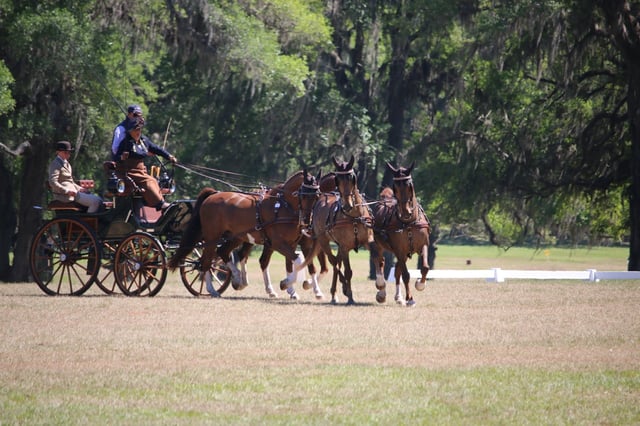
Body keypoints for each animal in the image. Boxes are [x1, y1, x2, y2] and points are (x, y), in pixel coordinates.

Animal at [169, 169, 318, 292]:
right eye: (303, 195)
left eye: (316, 196)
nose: (307, 220)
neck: (282, 206)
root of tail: (212, 195)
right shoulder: (277, 243)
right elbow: (298, 261)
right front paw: (287, 284)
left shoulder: (292, 243)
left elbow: (295, 263)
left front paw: (289, 285)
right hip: (212, 237)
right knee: (206, 260)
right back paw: (212, 289)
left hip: (235, 236)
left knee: (221, 252)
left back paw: (237, 279)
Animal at [296, 156, 380, 306]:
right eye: (337, 179)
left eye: (352, 178)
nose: (347, 205)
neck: (354, 216)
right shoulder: (345, 246)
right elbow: (347, 271)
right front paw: (350, 295)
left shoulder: (368, 241)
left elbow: (377, 258)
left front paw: (381, 286)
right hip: (324, 241)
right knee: (334, 262)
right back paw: (338, 291)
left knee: (337, 262)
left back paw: (336, 293)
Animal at [370, 162, 430, 306]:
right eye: (395, 186)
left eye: (410, 185)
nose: (406, 212)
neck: (409, 222)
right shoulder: (399, 249)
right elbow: (406, 274)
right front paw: (410, 298)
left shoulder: (423, 245)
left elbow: (425, 267)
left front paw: (420, 284)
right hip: (379, 244)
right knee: (379, 261)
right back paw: (381, 290)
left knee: (396, 270)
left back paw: (398, 297)